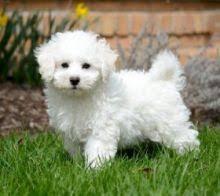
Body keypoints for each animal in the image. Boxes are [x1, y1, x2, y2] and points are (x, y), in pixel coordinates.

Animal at [35, 29, 200, 168]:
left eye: (86, 66)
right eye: (64, 65)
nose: (74, 80)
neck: (79, 98)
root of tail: (165, 80)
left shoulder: (101, 128)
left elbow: (97, 149)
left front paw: (94, 169)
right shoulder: (71, 131)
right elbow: (75, 148)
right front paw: (77, 164)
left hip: (171, 121)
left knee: (185, 137)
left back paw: (188, 156)